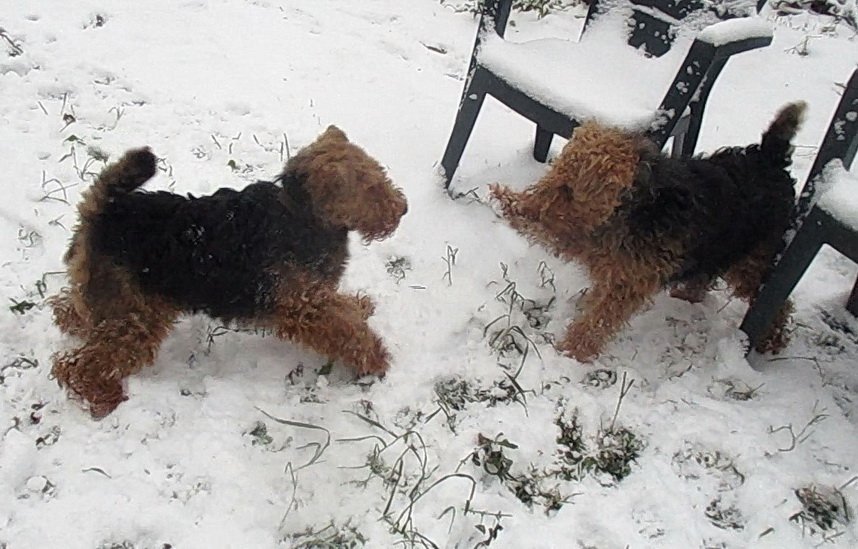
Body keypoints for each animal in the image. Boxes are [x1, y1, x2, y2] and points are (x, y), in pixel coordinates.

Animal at [50, 125, 408, 417]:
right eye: (371, 186)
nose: (402, 209)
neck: (303, 213)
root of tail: (104, 210)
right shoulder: (305, 306)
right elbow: (348, 329)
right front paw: (376, 358)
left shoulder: (314, 296)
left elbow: (346, 310)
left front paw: (361, 306)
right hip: (134, 318)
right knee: (81, 366)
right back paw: (104, 400)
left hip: (111, 301)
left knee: (70, 311)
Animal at [490, 102, 805, 362]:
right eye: (555, 174)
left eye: (568, 189)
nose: (530, 206)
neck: (637, 202)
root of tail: (770, 157)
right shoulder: (602, 249)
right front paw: (505, 200)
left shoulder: (628, 280)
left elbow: (598, 320)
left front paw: (571, 350)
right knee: (703, 277)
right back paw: (685, 298)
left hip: (751, 260)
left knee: (780, 303)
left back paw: (772, 341)